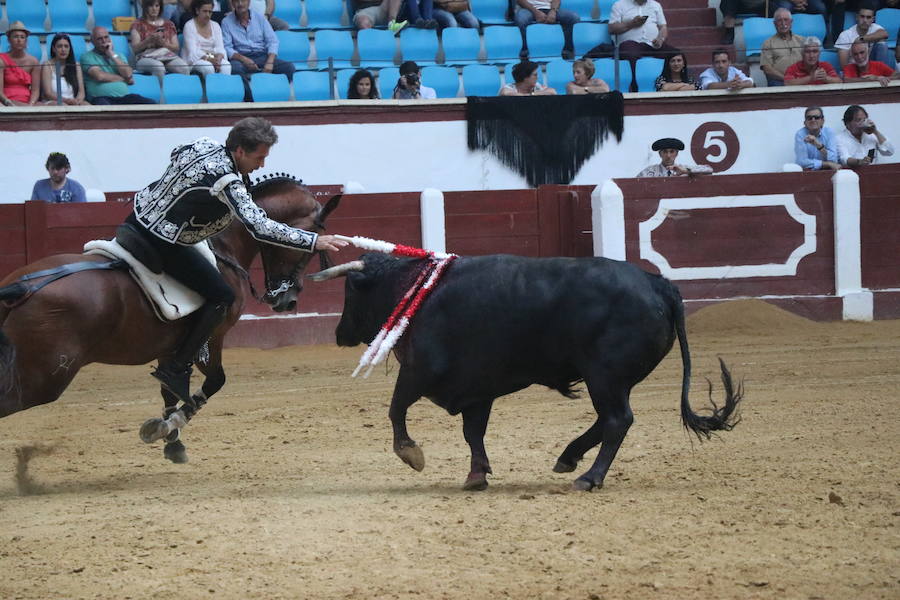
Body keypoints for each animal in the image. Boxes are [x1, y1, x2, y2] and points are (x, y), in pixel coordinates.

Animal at [0, 176, 342, 462]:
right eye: (309, 244)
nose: (288, 300)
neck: (223, 249)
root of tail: (22, 287)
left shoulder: (170, 347)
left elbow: (169, 386)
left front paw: (172, 439)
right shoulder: (212, 336)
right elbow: (213, 382)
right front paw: (168, 427)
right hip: (45, 376)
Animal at [312, 253, 740, 492]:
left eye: (350, 290)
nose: (338, 333)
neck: (412, 288)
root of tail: (659, 284)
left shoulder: (420, 371)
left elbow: (396, 409)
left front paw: (411, 454)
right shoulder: (477, 388)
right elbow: (473, 432)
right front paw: (477, 476)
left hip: (604, 376)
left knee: (618, 420)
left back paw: (588, 477)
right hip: (611, 380)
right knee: (609, 419)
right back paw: (568, 458)